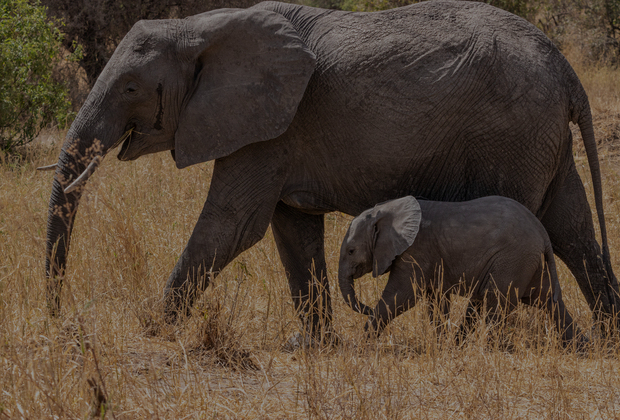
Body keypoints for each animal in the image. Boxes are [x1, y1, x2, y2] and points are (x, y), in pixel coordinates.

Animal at [340, 195, 576, 342]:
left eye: (351, 251)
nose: (366, 308)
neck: (388, 209)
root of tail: (541, 231)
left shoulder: (416, 250)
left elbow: (402, 296)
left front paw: (363, 344)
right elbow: (435, 300)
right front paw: (442, 344)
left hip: (513, 259)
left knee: (496, 301)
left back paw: (489, 349)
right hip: (527, 261)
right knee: (548, 300)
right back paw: (580, 348)